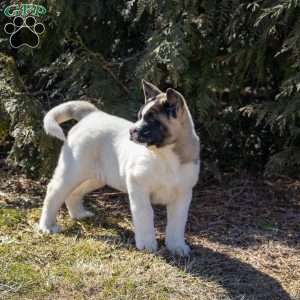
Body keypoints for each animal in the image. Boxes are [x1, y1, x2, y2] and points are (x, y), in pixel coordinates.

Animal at [38, 80, 200, 255]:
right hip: (72, 171)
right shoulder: (139, 187)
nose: (131, 131)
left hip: (95, 177)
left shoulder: (182, 195)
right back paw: (46, 226)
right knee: (54, 192)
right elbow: (145, 214)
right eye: (140, 117)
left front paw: (177, 246)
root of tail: (92, 115)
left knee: (74, 192)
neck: (164, 155)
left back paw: (79, 214)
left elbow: (177, 223)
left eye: (152, 120)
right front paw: (147, 244)